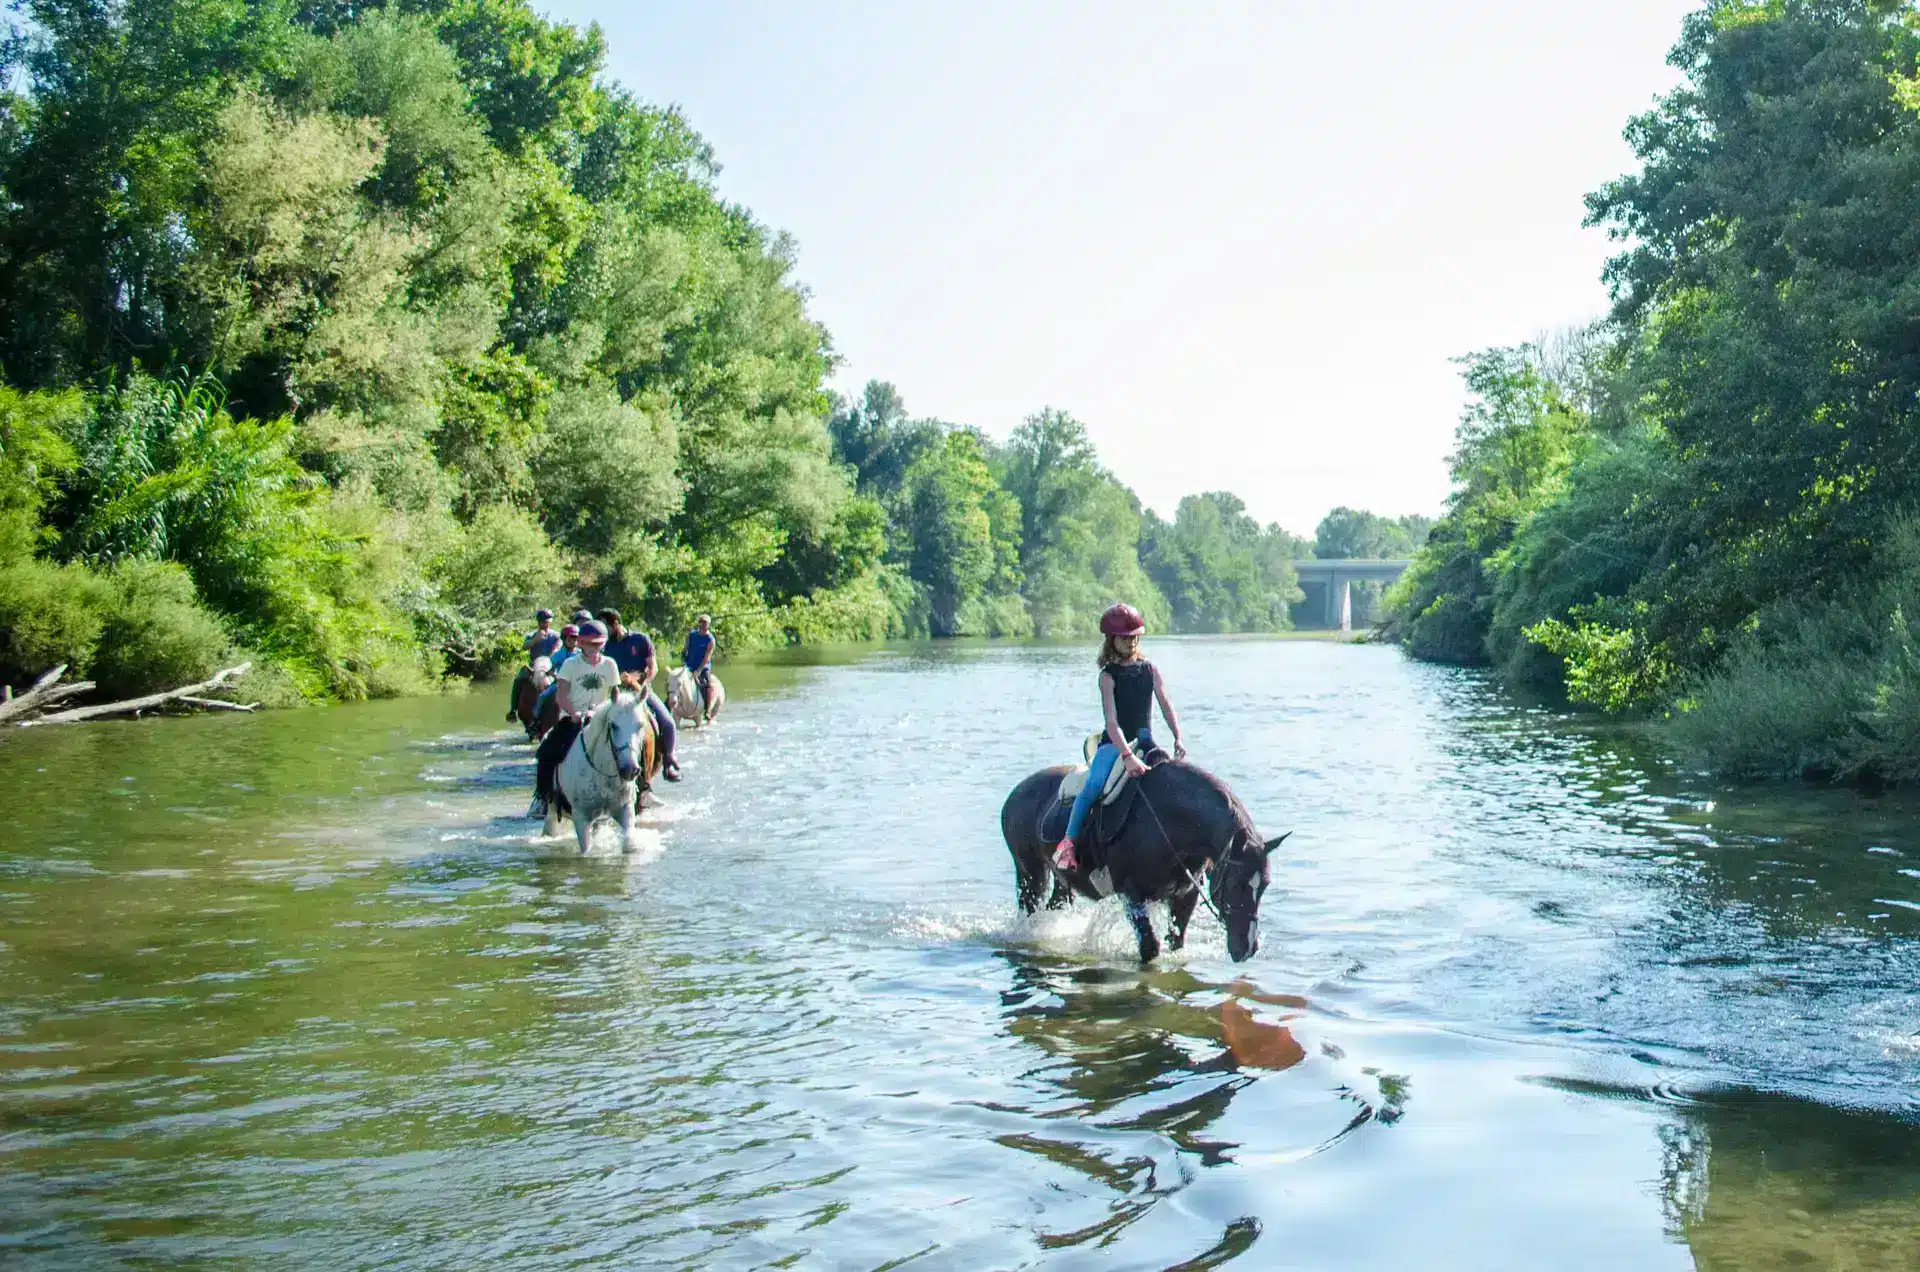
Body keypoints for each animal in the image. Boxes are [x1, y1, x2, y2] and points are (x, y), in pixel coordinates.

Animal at [541, 687, 660, 856]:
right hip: (552, 808)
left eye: (640, 725)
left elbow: (629, 845)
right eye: (613, 725)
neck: (602, 773)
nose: (630, 770)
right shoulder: (581, 816)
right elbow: (586, 850)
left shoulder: (625, 809)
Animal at [998, 768, 1282, 968]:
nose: (1247, 948)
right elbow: (1150, 948)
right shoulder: (1133, 895)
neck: (1173, 824)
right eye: (1236, 883)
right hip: (1030, 872)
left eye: (1265, 884)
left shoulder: (1185, 895)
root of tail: (1017, 791)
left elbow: (1175, 942)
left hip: (1061, 880)